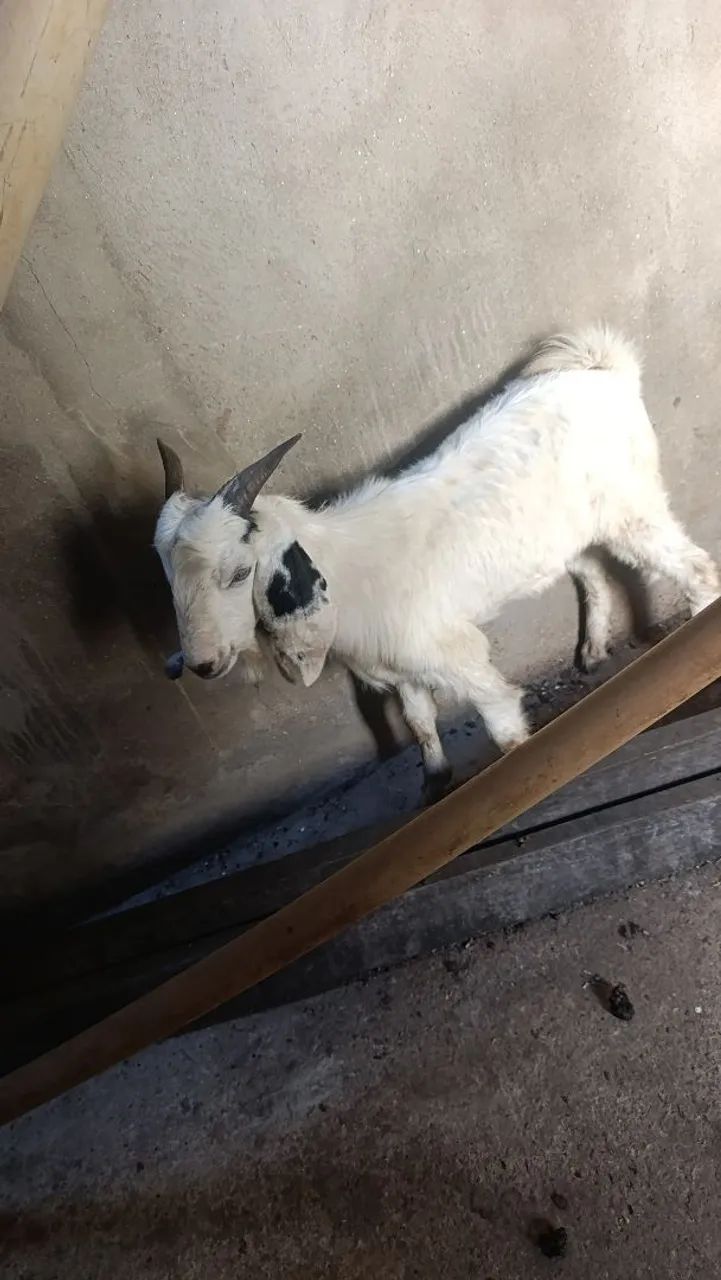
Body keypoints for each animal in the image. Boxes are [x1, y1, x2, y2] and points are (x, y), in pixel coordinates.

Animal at [154, 326, 718, 801]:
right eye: (168, 580)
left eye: (239, 573)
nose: (201, 665)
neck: (345, 573)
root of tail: (602, 368)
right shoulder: (402, 665)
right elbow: (420, 720)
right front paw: (435, 783)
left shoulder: (455, 653)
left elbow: (501, 719)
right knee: (593, 571)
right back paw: (594, 650)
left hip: (632, 506)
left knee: (694, 568)